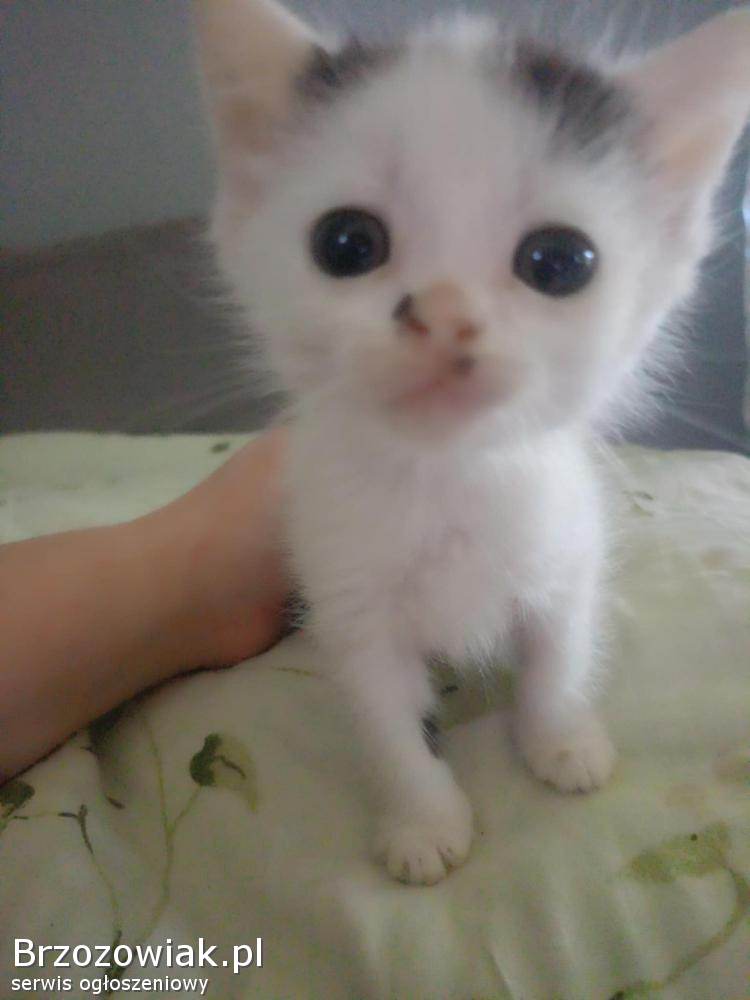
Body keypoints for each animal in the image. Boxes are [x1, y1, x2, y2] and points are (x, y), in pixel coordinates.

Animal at [194, 0, 750, 884]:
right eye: (345, 243)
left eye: (560, 261)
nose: (447, 314)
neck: (448, 476)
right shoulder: (351, 598)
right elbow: (388, 724)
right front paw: (422, 821)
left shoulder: (565, 553)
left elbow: (558, 658)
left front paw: (561, 739)